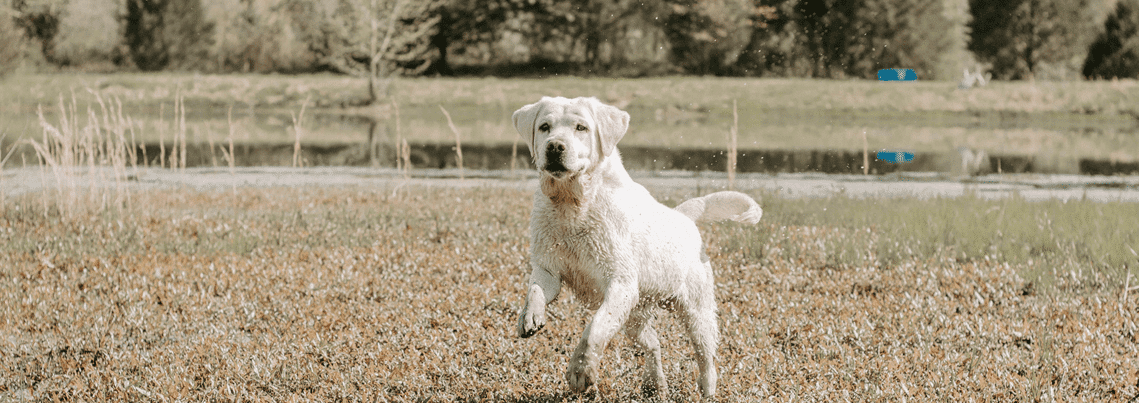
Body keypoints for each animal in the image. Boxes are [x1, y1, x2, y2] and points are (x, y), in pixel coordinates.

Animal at [512, 96, 760, 398]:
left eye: (581, 127)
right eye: (545, 127)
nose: (555, 147)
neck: (572, 205)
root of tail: (684, 217)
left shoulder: (620, 284)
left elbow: (595, 327)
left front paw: (580, 371)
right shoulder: (548, 269)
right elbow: (535, 290)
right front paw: (530, 317)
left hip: (695, 311)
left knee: (706, 354)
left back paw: (707, 389)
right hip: (634, 316)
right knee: (653, 343)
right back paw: (655, 383)